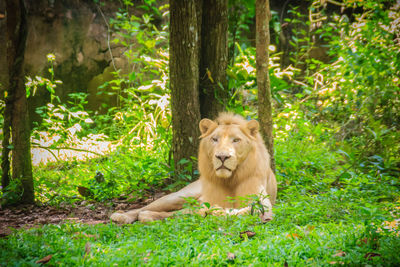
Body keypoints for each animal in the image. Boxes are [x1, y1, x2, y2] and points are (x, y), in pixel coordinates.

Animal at [110, 113, 278, 224]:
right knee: (148, 208)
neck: (229, 180)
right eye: (214, 139)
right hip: (179, 195)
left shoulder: (263, 203)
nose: (222, 157)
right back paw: (122, 216)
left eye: (236, 140)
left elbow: (248, 210)